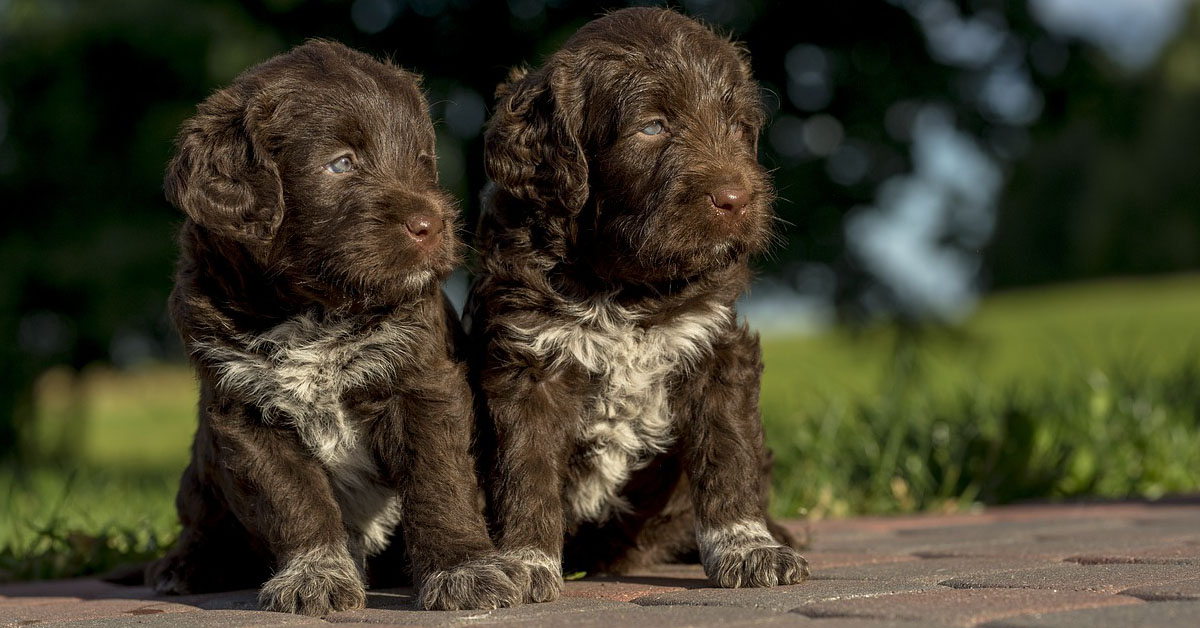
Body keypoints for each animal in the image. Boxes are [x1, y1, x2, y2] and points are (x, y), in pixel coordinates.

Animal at [147, 40, 523, 619]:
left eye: (421, 161)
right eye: (341, 163)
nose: (432, 225)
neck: (315, 313)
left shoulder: (423, 384)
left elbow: (439, 481)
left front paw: (464, 570)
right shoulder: (245, 413)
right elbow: (293, 499)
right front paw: (316, 576)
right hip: (201, 469)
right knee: (201, 522)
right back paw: (183, 566)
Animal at [463, 6, 811, 605]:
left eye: (736, 126)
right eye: (652, 127)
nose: (738, 200)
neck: (624, 288)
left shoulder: (717, 348)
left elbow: (728, 455)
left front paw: (749, 548)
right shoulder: (529, 364)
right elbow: (525, 470)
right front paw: (525, 561)